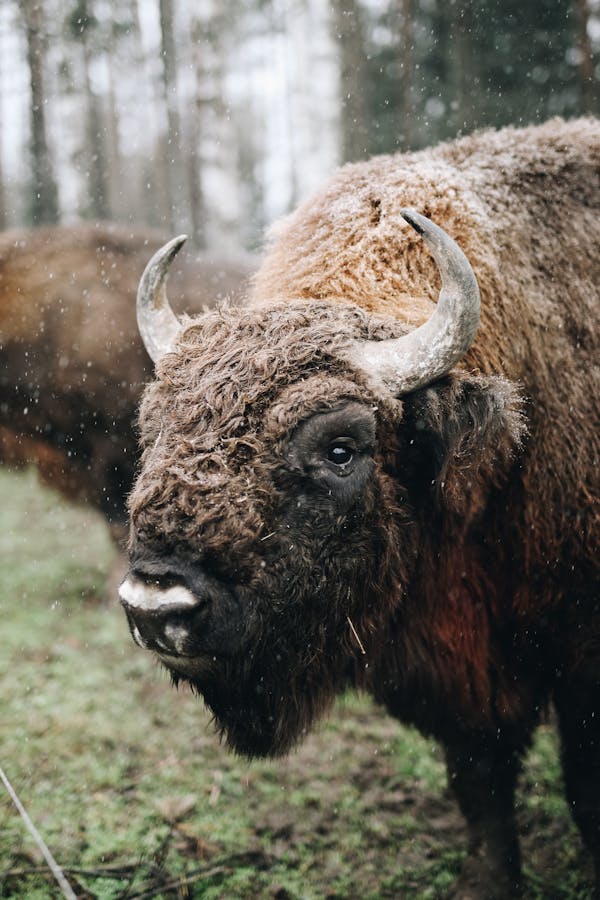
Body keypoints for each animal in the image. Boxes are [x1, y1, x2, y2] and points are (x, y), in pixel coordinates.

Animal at [118, 121, 600, 900]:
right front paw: (485, 881)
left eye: (341, 448)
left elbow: (582, 782)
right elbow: (481, 779)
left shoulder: (580, 652)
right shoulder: (454, 667)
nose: (156, 607)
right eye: (155, 428)